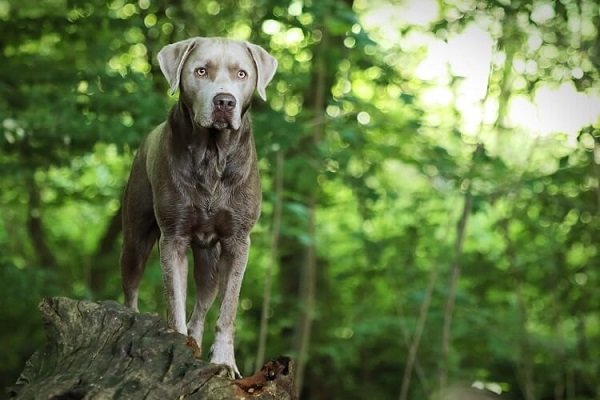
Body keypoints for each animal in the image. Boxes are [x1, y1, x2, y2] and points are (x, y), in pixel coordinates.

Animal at [120, 37, 278, 378]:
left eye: (242, 74)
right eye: (201, 71)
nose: (225, 102)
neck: (211, 155)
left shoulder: (237, 243)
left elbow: (228, 309)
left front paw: (224, 361)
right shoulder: (173, 238)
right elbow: (174, 300)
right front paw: (176, 347)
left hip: (210, 260)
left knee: (204, 303)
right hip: (135, 237)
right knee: (131, 286)